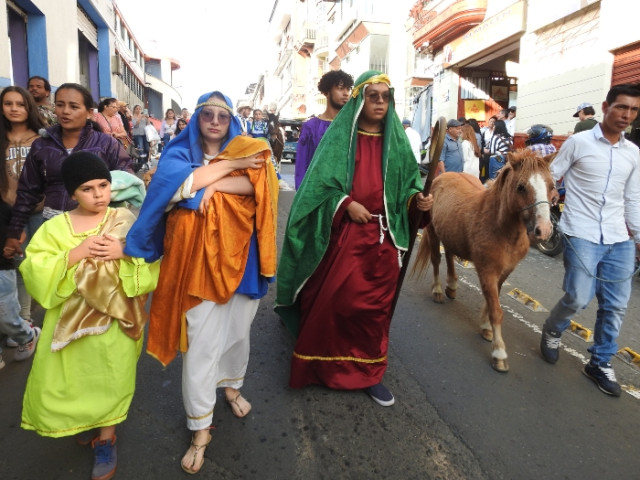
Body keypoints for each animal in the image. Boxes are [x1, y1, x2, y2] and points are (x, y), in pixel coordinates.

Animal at [416, 149, 556, 372]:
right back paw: (438, 291)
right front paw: (499, 353)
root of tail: (442, 176)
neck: (500, 227)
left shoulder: (505, 270)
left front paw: (485, 328)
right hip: (432, 231)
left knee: (449, 255)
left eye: (551, 186)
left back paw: (452, 286)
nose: (544, 230)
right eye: (521, 187)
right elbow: (496, 310)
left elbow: (493, 300)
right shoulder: (487, 270)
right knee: (437, 259)